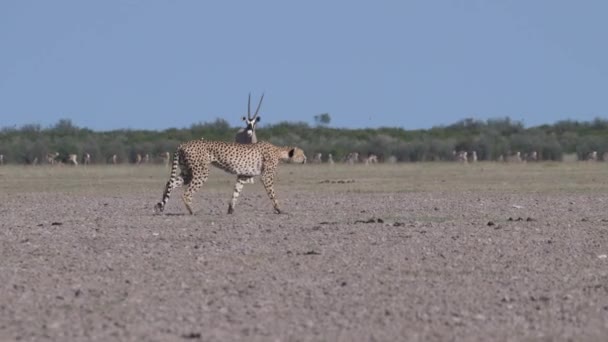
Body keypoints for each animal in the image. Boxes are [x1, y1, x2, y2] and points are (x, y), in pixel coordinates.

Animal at [152, 138, 304, 214]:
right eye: (301, 154)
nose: (305, 159)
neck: (279, 151)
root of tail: (183, 143)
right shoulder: (266, 177)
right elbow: (272, 193)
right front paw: (279, 208)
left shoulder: (243, 176)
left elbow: (236, 191)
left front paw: (231, 209)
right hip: (201, 172)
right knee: (186, 192)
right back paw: (192, 211)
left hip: (188, 172)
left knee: (170, 183)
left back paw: (161, 206)